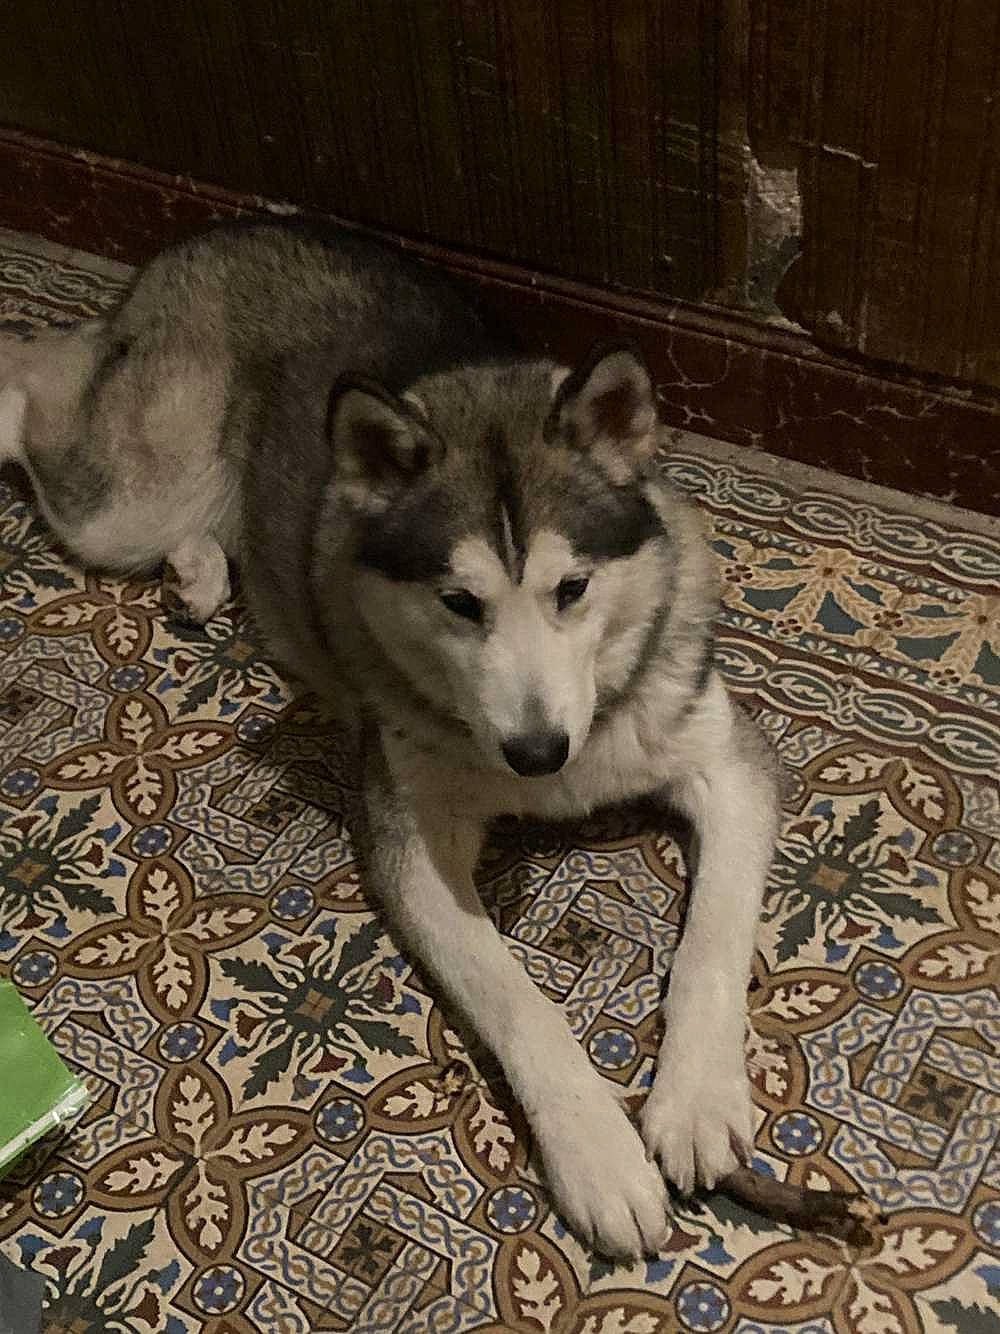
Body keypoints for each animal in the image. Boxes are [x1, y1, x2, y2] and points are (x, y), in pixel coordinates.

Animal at [0, 223, 780, 1258]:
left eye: (572, 589)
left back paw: (202, 569)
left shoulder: (725, 762)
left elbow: (714, 943)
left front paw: (694, 1099)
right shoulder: (411, 843)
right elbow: (516, 999)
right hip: (124, 499)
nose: (538, 755)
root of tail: (220, 229)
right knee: (37, 385)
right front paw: (597, 1151)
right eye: (459, 603)